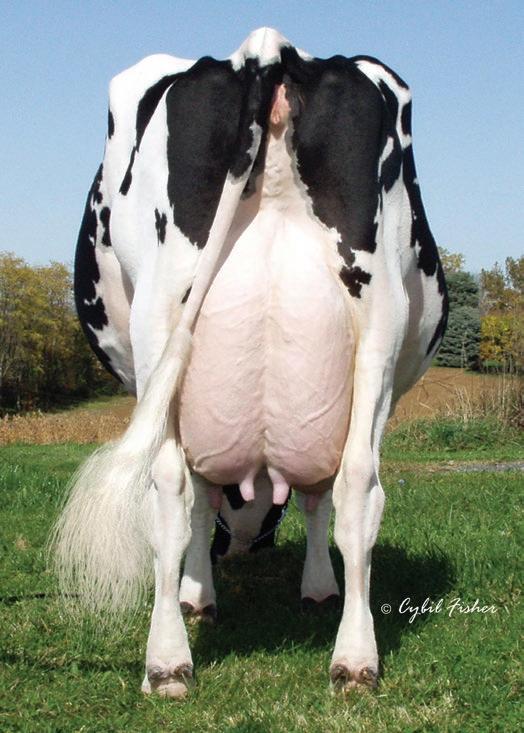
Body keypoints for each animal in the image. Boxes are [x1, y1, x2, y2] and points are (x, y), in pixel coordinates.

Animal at [50, 27, 448, 697]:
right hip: (378, 322)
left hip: (160, 316)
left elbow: (210, 500)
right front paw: (313, 588)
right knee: (356, 484)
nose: (240, 548)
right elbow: (311, 497)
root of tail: (269, 49)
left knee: (169, 489)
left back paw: (166, 660)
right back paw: (355, 658)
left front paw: (199, 593)